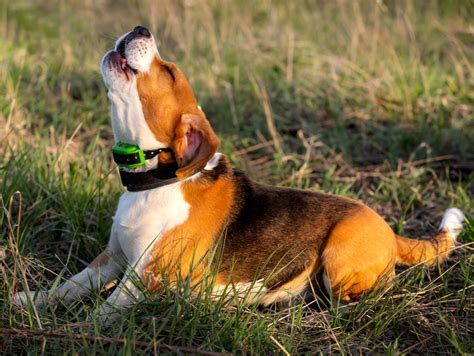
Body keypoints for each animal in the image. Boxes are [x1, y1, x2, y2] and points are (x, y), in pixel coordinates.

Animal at [12, 26, 466, 318]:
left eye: (169, 71)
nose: (140, 26)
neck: (153, 183)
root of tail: (388, 229)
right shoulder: (110, 261)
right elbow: (69, 286)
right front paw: (31, 300)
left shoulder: (145, 279)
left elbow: (102, 311)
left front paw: (79, 330)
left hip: (339, 265)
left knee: (366, 293)